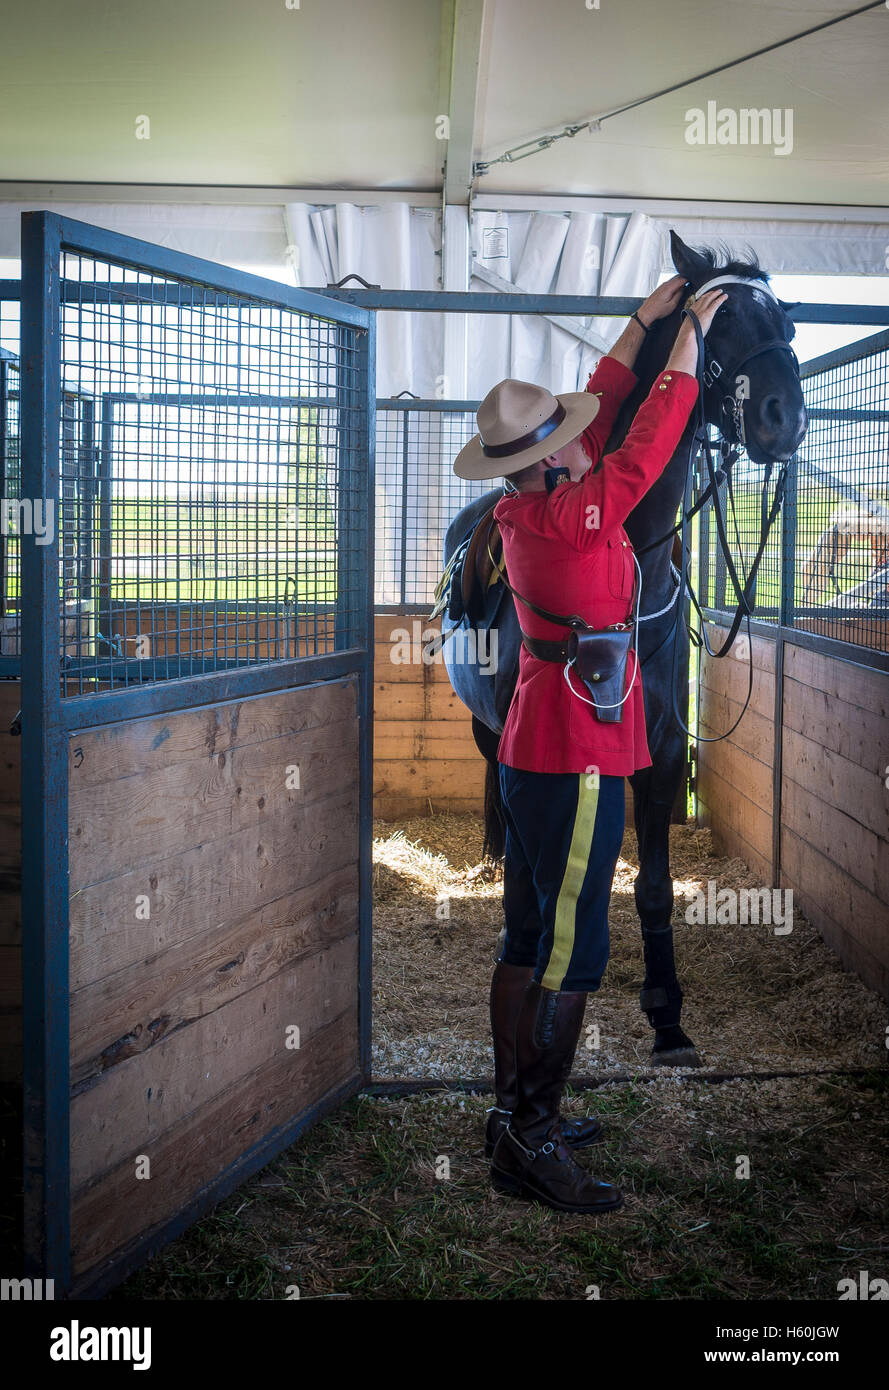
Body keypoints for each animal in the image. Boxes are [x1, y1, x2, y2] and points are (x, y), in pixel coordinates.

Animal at [441, 233, 811, 1067]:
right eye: (722, 319)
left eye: (786, 322)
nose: (784, 420)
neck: (631, 550)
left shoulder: (665, 753)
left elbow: (648, 885)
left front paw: (667, 1016)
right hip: (486, 726)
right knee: (497, 796)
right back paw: (490, 853)